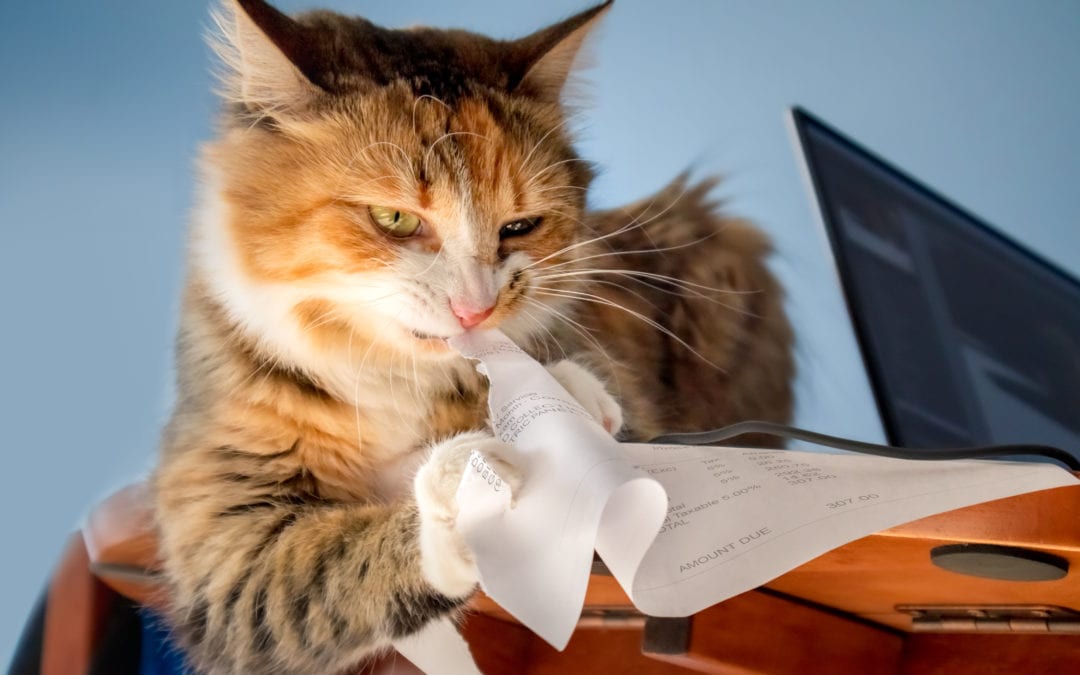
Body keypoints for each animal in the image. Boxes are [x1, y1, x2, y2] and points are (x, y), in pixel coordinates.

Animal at [152, 1, 794, 673]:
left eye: (520, 226)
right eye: (394, 218)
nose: (475, 309)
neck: (393, 380)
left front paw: (562, 402)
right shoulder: (223, 541)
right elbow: (332, 562)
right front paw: (471, 484)